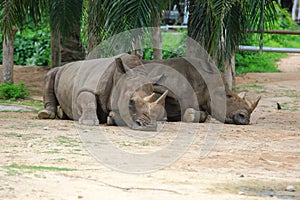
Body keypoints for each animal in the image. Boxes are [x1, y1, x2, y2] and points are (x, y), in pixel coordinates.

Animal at [37, 54, 168, 130]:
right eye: (130, 101)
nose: (149, 126)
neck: (119, 79)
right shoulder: (86, 88)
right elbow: (88, 101)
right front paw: (89, 122)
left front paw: (111, 117)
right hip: (60, 70)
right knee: (51, 74)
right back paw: (45, 114)